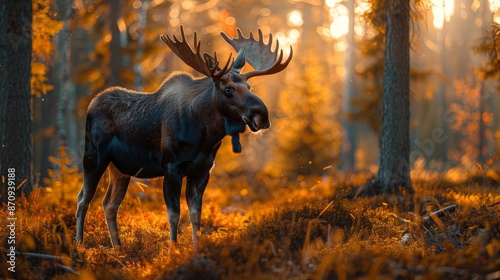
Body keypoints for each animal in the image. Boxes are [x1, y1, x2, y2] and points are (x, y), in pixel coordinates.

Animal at [74, 25, 292, 249]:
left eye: (249, 87)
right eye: (228, 89)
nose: (262, 114)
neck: (206, 138)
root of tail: (92, 103)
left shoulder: (202, 171)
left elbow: (196, 215)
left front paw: (196, 248)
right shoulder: (171, 167)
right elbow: (174, 214)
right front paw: (173, 249)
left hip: (120, 168)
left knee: (109, 204)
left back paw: (118, 247)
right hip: (93, 157)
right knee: (83, 199)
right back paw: (79, 244)